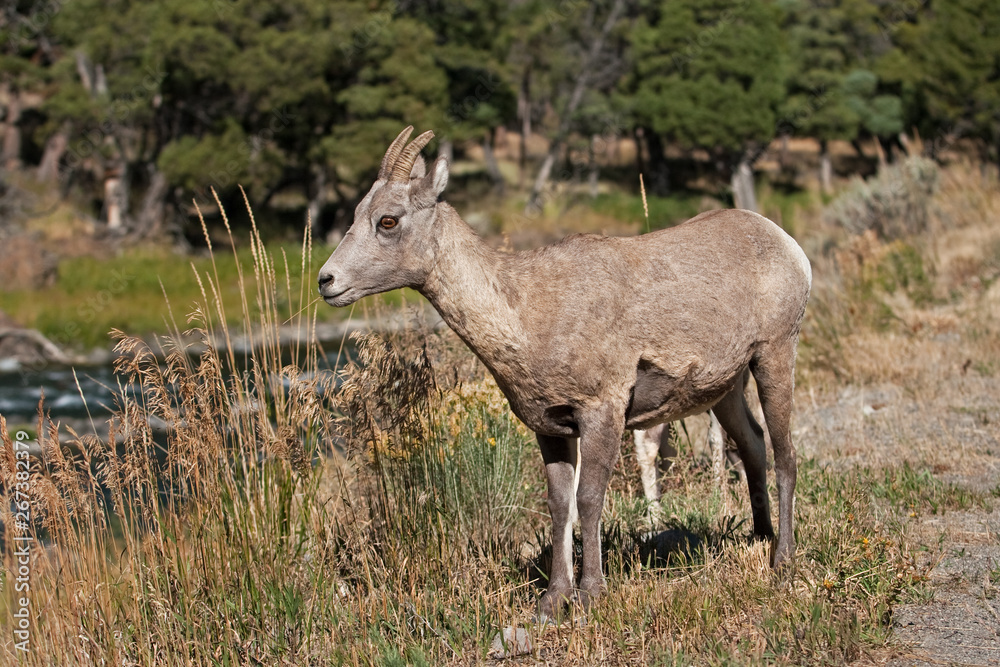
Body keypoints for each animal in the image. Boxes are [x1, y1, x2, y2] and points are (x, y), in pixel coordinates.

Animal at [318, 127, 812, 619]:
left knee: (785, 453)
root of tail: (788, 244)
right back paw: (759, 538)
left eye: (388, 220)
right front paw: (552, 600)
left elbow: (589, 499)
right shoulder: (551, 428)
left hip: (775, 354)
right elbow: (559, 506)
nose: (327, 281)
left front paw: (591, 593)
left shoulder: (602, 412)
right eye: (357, 213)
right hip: (727, 388)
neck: (529, 313)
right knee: (753, 445)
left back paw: (782, 560)